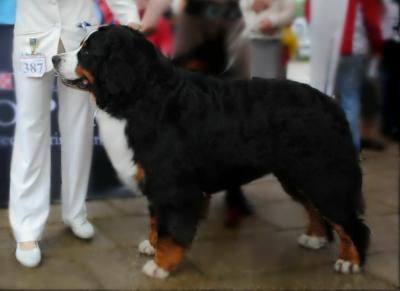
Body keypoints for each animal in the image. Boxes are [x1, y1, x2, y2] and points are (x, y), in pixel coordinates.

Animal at [52, 25, 368, 280]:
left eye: (87, 51)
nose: (55, 59)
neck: (142, 96)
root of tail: (331, 102)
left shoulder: (175, 186)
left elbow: (171, 229)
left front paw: (161, 265)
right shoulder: (156, 181)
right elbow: (156, 221)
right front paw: (151, 246)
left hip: (322, 175)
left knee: (349, 222)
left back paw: (350, 261)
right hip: (297, 175)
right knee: (316, 209)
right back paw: (315, 238)